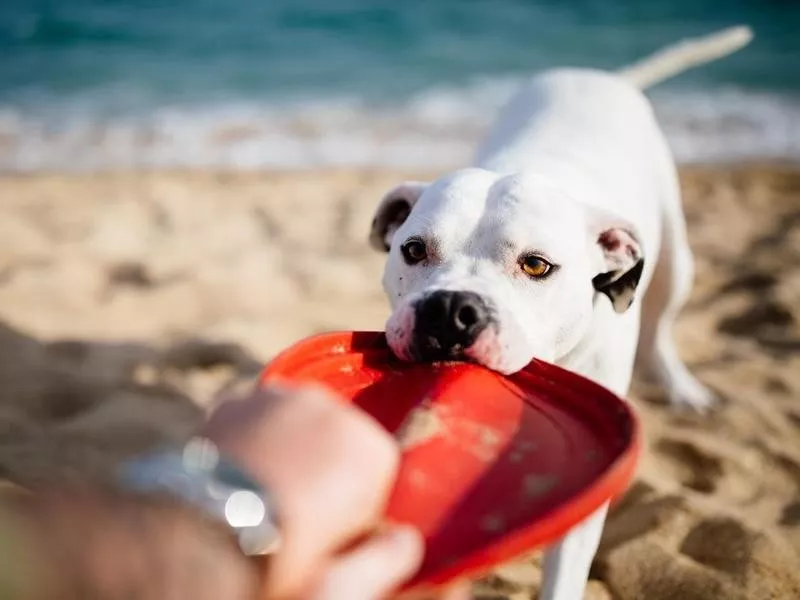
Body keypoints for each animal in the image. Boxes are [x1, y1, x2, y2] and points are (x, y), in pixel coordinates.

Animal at [372, 27, 752, 600]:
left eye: (536, 265)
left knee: (662, 327)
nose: (451, 308)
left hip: (676, 261)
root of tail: (602, 77)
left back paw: (683, 389)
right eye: (413, 251)